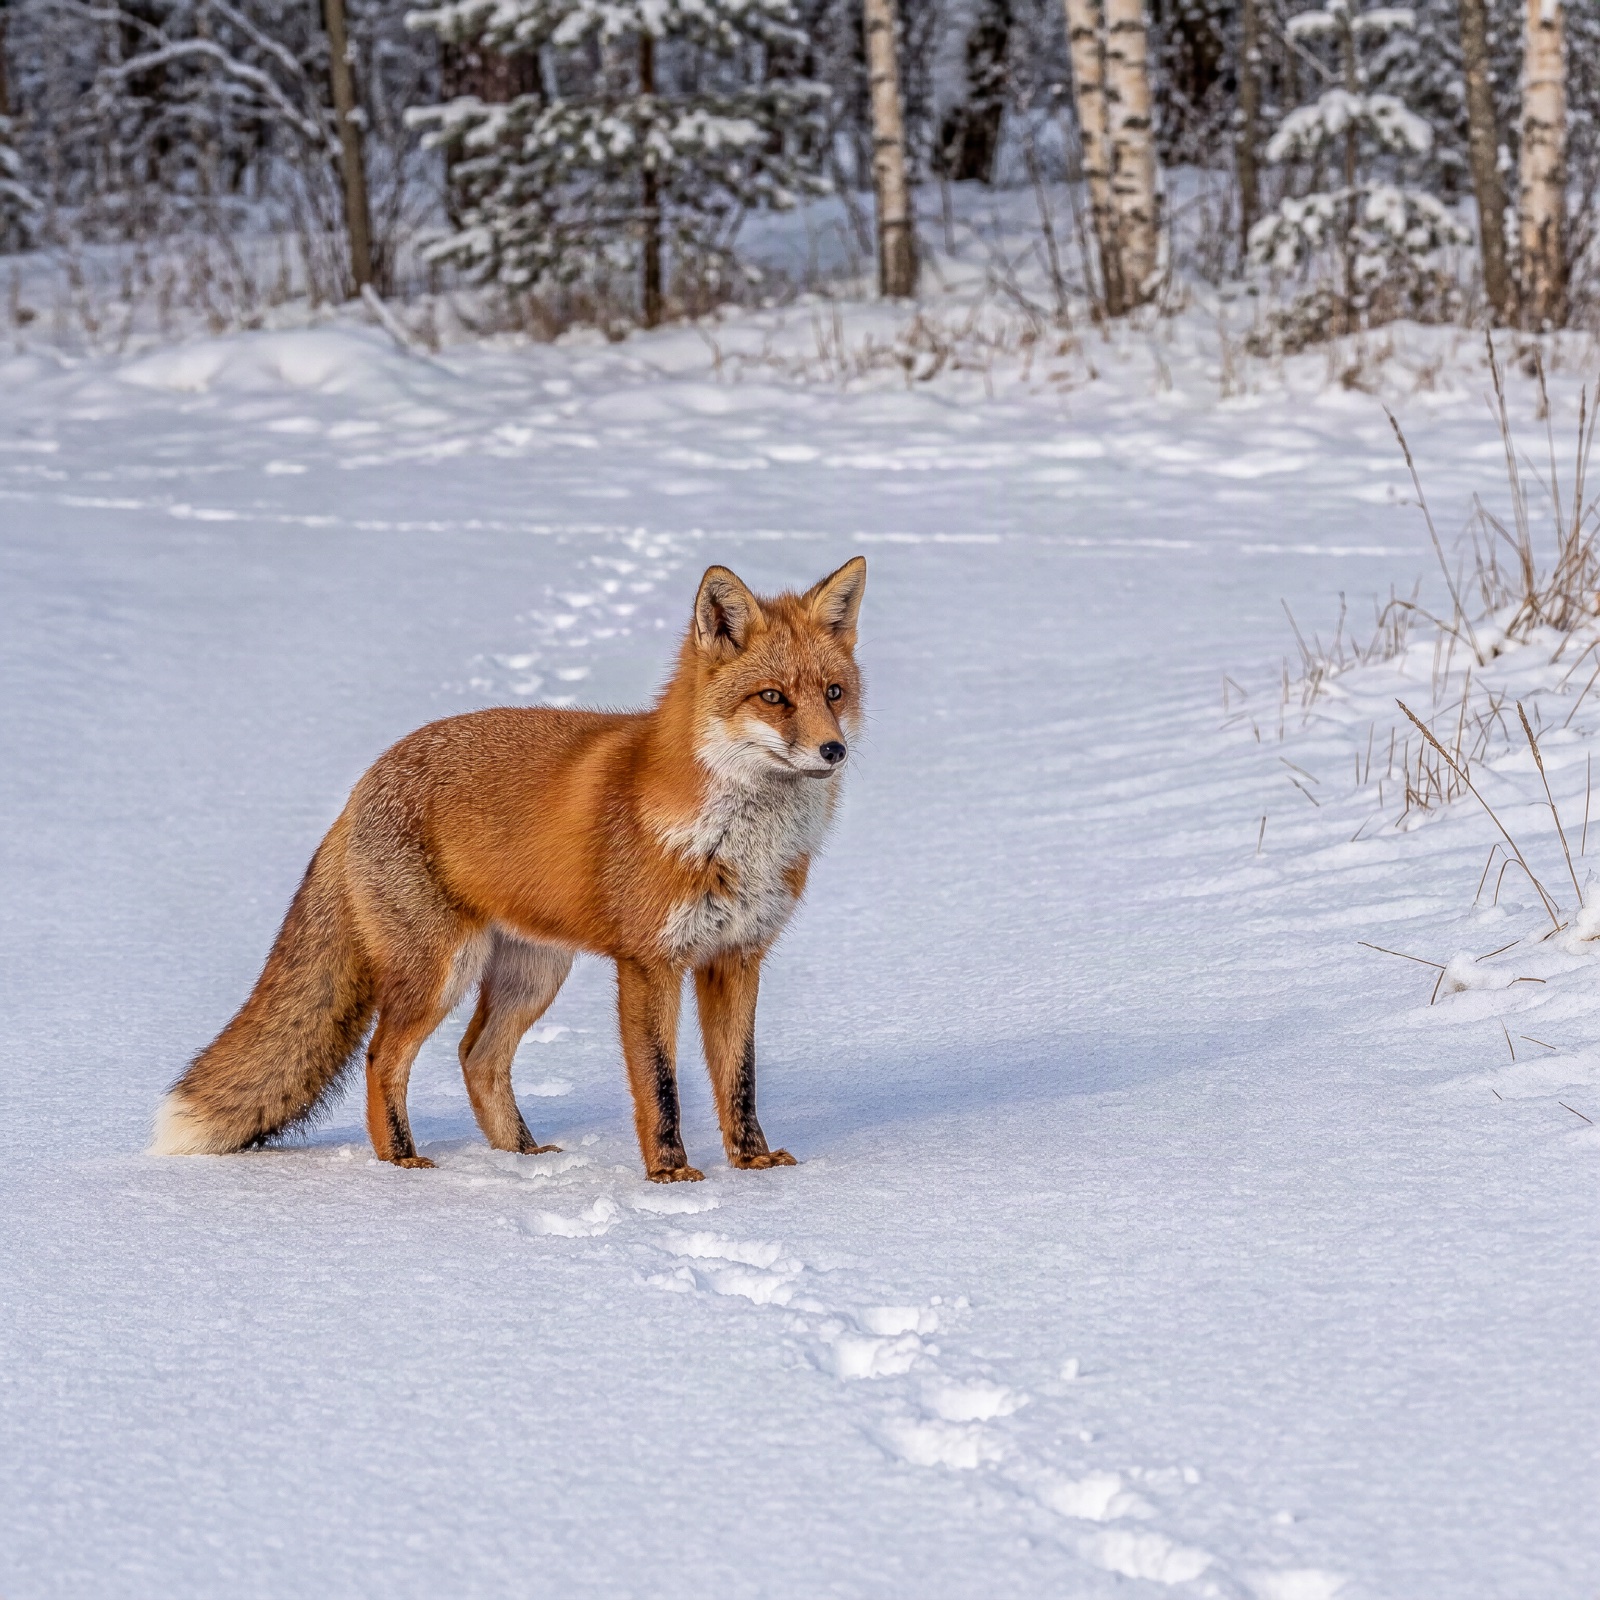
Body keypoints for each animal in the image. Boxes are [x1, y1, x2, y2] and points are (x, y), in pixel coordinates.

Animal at [152, 558, 866, 1182]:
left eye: (834, 693)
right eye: (773, 698)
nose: (834, 749)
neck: (732, 839)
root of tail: (366, 780)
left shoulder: (736, 958)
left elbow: (739, 1080)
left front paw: (752, 1165)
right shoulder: (650, 963)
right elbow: (660, 1084)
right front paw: (670, 1174)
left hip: (533, 974)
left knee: (477, 1057)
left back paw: (520, 1157)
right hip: (442, 970)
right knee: (383, 1058)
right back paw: (401, 1165)